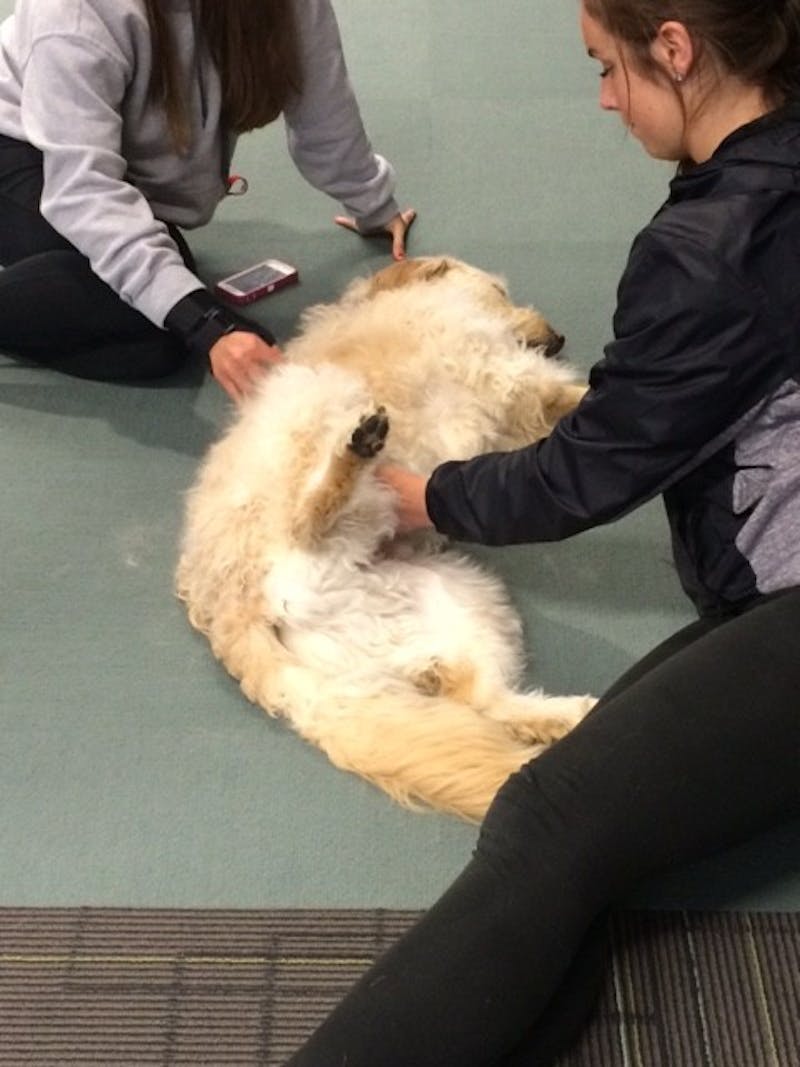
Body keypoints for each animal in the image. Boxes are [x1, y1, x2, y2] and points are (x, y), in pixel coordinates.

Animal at [177, 253, 597, 819]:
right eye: (499, 292)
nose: (557, 338)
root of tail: (228, 615)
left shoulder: (517, 398)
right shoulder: (507, 380)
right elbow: (571, 394)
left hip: (465, 602)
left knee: (486, 703)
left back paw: (571, 715)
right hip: (313, 460)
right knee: (308, 521)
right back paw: (355, 451)